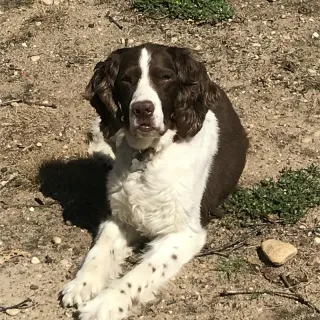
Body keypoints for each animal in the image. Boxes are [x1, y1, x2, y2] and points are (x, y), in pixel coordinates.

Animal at [61, 43, 249, 320]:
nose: (142, 109)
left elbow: (140, 273)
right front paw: (82, 283)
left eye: (165, 77)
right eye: (126, 80)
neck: (147, 156)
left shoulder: (184, 233)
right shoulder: (119, 216)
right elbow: (99, 252)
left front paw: (104, 304)